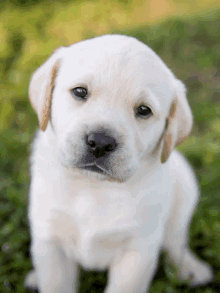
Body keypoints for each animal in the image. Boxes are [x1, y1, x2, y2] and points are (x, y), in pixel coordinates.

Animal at [24, 34, 214, 292]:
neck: (95, 187)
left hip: (184, 193)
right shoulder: (50, 241)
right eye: (80, 92)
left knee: (176, 243)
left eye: (143, 110)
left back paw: (191, 269)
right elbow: (55, 284)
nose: (100, 142)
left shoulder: (137, 251)